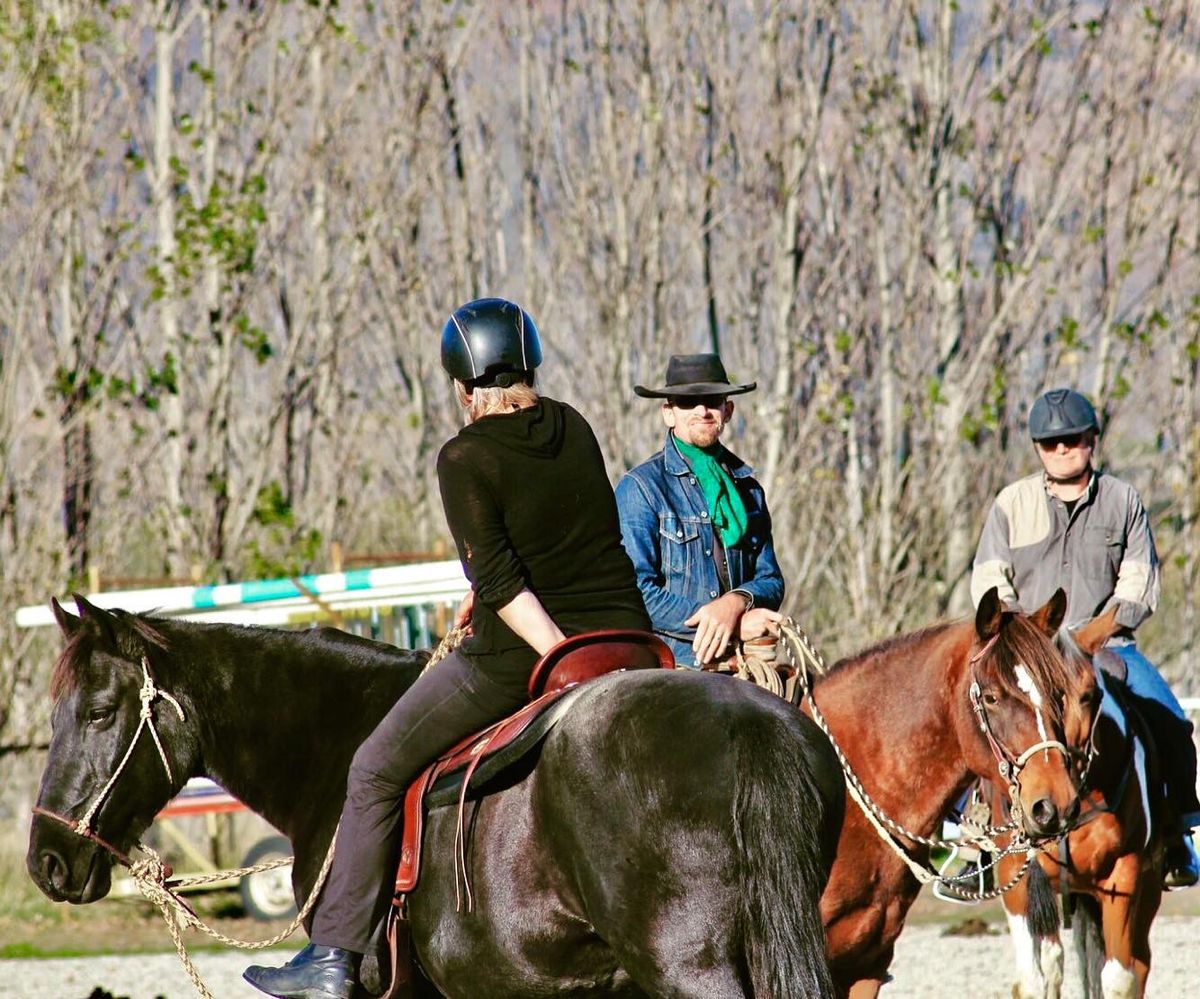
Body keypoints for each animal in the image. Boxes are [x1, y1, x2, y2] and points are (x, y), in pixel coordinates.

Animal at [993, 609, 1171, 999]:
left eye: (1090, 694)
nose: (1054, 802)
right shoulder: (1018, 884)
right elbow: (1036, 979)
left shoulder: (1124, 875)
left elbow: (1118, 977)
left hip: (1147, 887)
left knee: (1139, 964)